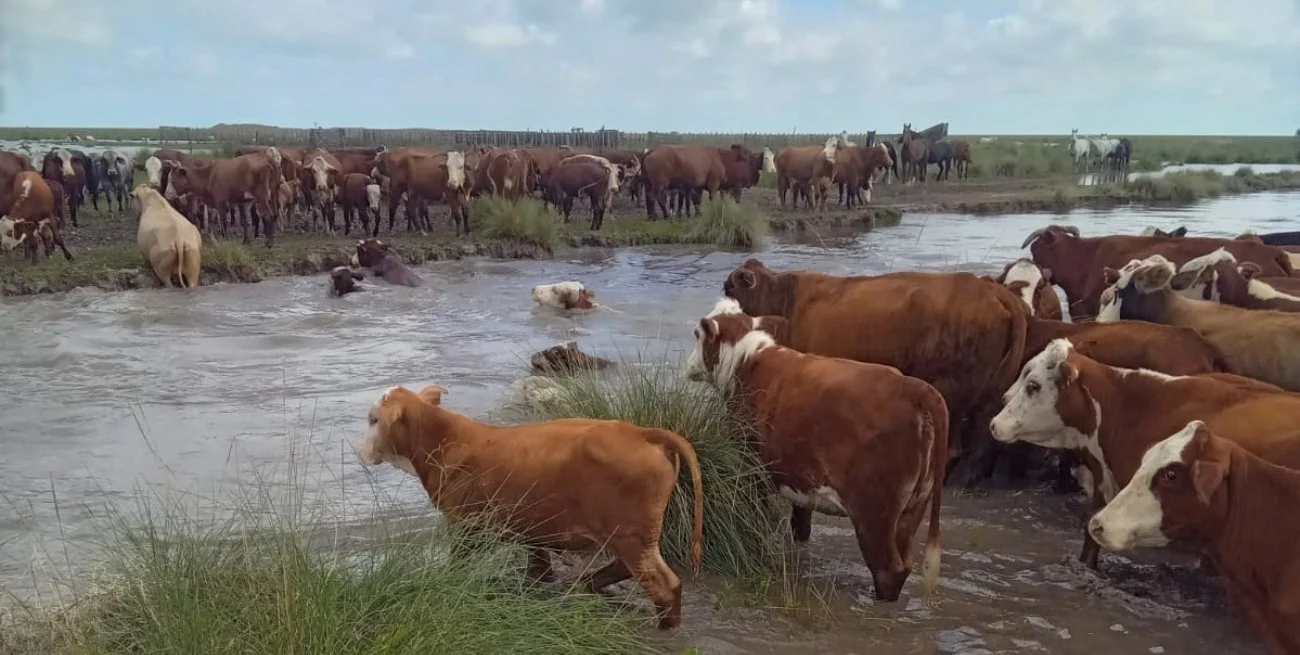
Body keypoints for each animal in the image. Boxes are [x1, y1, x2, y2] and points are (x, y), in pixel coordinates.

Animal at [356, 384, 703, 629]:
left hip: (630, 534)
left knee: (664, 586)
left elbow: (458, 565)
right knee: (626, 569)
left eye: (374, 419)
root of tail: (641, 433)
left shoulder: (466, 526)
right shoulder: (531, 527)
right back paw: (587, 584)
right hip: (631, 535)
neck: (445, 442)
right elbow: (538, 566)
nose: (361, 452)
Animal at [685, 299, 945, 602]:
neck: (747, 362)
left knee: (887, 568)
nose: (689, 364)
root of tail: (913, 387)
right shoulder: (800, 476)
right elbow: (801, 523)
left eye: (696, 334)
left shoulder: (750, 468)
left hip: (874, 512)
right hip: (913, 507)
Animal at [723, 258, 1029, 489]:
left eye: (731, 287)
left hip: (951, 390)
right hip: (988, 392)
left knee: (955, 447)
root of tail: (988, 289)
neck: (781, 298)